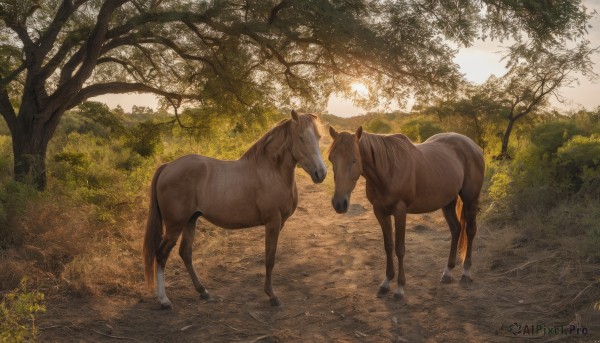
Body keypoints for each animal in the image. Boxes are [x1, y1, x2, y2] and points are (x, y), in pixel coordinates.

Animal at [144, 111, 326, 310]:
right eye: (301, 138)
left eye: (319, 137)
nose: (321, 173)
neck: (270, 171)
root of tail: (167, 166)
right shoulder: (273, 222)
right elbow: (270, 259)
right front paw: (272, 296)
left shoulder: (278, 224)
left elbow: (270, 257)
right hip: (175, 225)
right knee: (161, 255)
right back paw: (164, 300)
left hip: (191, 220)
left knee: (186, 253)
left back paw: (203, 292)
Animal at [326, 127, 486, 300]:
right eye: (331, 159)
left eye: (354, 160)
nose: (339, 203)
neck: (388, 170)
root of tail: (474, 146)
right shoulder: (380, 212)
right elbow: (388, 246)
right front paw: (386, 282)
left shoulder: (400, 211)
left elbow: (400, 248)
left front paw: (399, 288)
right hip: (448, 202)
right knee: (456, 229)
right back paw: (448, 272)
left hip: (470, 200)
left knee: (470, 231)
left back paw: (466, 272)